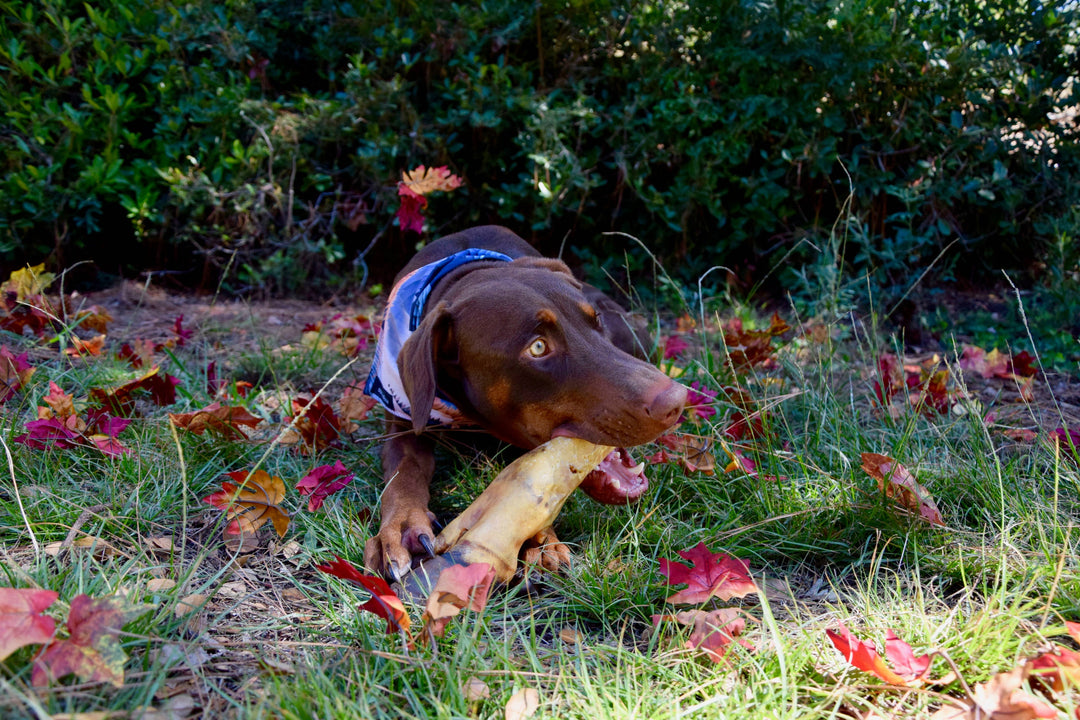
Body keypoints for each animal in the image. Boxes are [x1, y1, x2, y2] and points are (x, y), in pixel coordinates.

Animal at [362, 225, 682, 578]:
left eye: (595, 321)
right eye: (538, 347)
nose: (676, 402)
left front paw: (541, 540)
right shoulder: (402, 418)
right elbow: (402, 472)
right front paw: (401, 527)